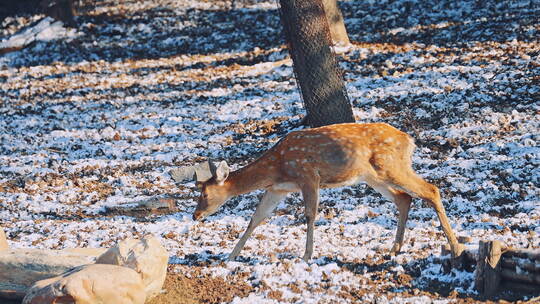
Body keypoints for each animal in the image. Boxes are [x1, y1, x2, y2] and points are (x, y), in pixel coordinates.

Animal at [188, 123, 462, 262]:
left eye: (204, 194)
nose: (195, 215)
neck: (277, 168)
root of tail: (409, 140)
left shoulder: (308, 176)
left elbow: (310, 214)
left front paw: (307, 255)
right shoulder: (278, 188)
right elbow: (256, 218)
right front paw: (231, 256)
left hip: (391, 165)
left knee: (430, 189)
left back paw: (455, 247)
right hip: (373, 176)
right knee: (404, 198)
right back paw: (394, 248)